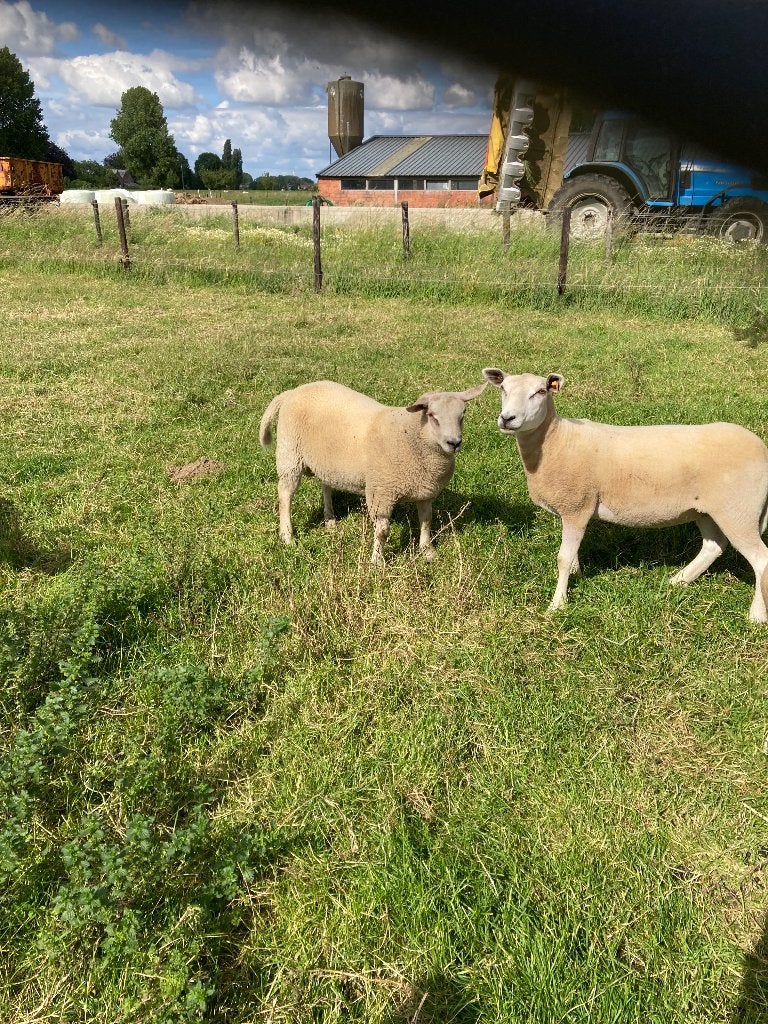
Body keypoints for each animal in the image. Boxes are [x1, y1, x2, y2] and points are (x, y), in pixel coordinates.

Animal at [259, 379, 487, 563]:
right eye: (432, 416)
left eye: (462, 415)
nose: (454, 443)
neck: (411, 436)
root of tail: (291, 392)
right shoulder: (381, 492)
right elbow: (383, 532)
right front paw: (377, 561)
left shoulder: (425, 491)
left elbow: (426, 521)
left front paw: (428, 551)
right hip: (289, 454)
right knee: (285, 495)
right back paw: (287, 536)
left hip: (326, 460)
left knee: (326, 485)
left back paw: (330, 519)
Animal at [482, 367, 768, 622]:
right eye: (503, 389)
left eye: (540, 391)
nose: (507, 418)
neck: (556, 441)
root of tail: (761, 447)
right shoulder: (575, 509)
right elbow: (572, 554)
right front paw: (576, 575)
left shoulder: (577, 506)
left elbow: (562, 558)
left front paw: (557, 604)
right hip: (706, 509)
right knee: (713, 546)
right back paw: (677, 581)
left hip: (738, 510)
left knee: (760, 558)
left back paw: (756, 615)